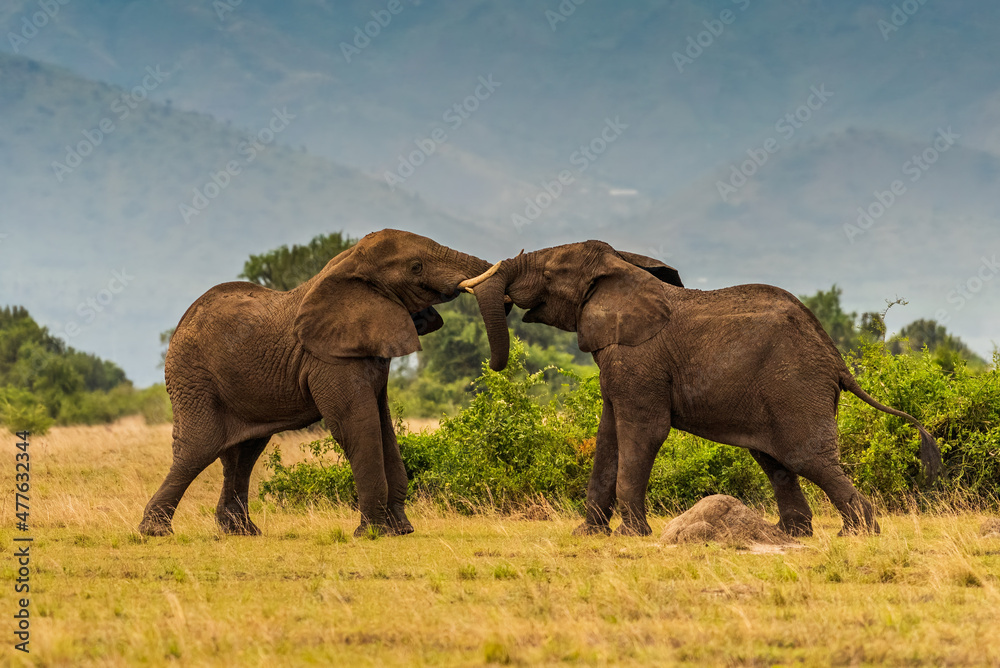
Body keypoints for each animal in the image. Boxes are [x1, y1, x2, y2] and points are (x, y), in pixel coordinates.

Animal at [140, 230, 492, 536]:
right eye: (415, 266)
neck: (351, 261)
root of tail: (181, 324)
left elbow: (383, 425)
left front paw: (401, 530)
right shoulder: (329, 359)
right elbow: (355, 425)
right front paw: (372, 534)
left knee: (243, 452)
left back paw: (242, 532)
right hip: (193, 378)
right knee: (199, 449)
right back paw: (155, 531)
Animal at [464, 240, 940, 536]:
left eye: (547, 271)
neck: (621, 267)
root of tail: (836, 358)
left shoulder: (639, 360)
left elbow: (644, 432)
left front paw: (632, 534)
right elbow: (608, 436)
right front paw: (588, 533)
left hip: (795, 386)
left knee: (806, 458)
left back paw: (856, 533)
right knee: (775, 459)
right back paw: (791, 533)